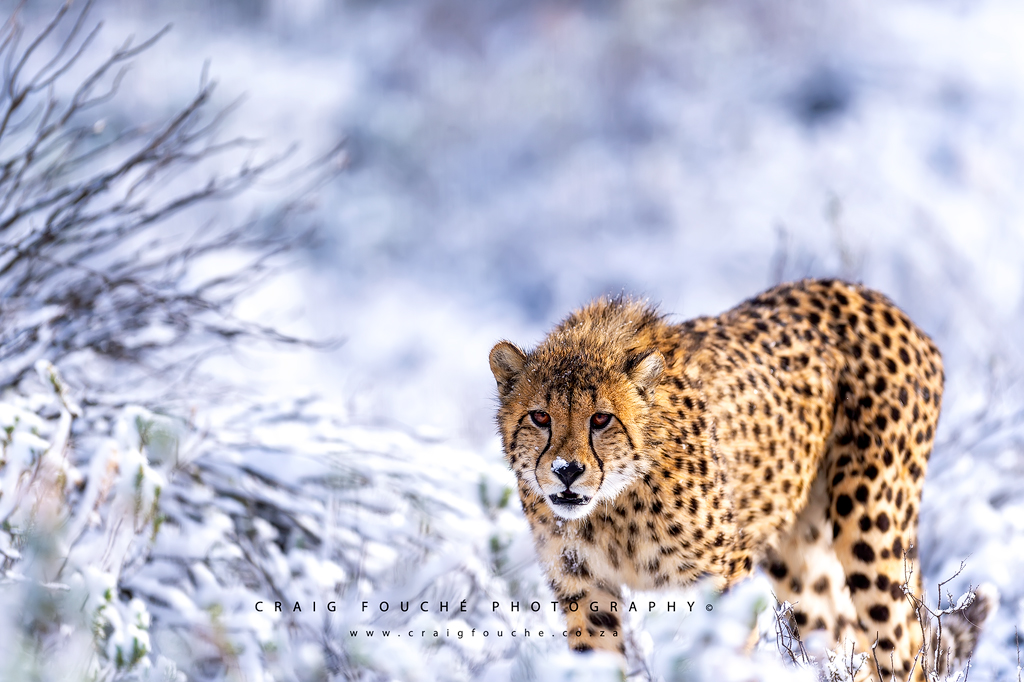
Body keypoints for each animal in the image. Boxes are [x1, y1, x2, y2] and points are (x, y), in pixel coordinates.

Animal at [485, 278, 966, 679]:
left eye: (601, 419)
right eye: (540, 417)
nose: (567, 471)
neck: (614, 507)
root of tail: (872, 296)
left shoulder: (721, 578)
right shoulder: (585, 588)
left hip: (871, 527)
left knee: (905, 645)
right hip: (800, 559)